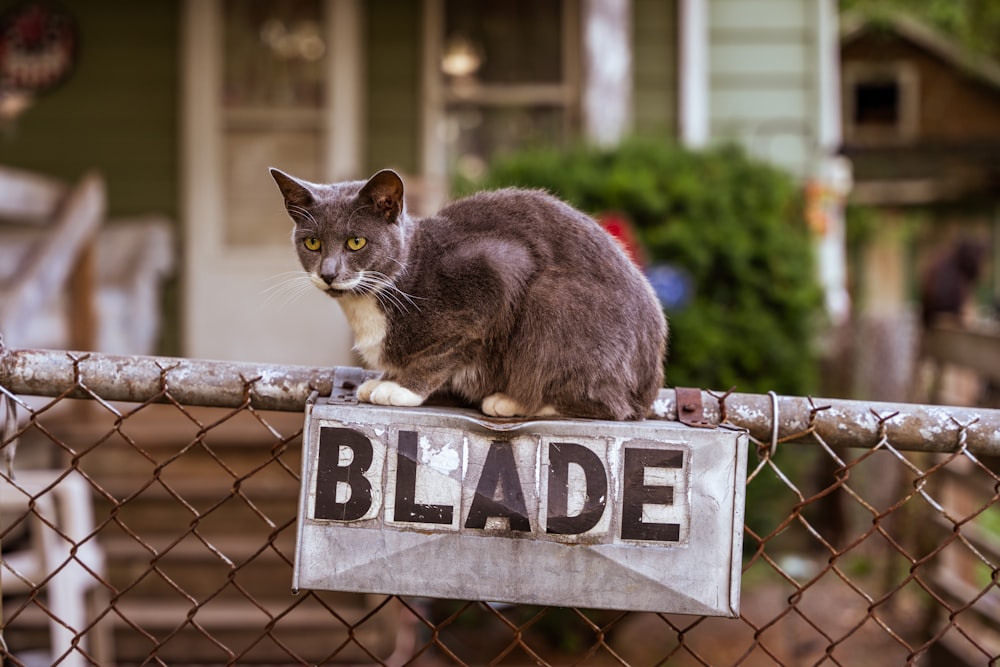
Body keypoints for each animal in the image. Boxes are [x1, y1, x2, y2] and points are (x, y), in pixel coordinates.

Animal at [270, 170, 668, 420]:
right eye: (312, 243)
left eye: (356, 242)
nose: (329, 273)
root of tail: (649, 382)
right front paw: (383, 379)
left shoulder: (495, 271)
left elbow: (445, 351)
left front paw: (400, 389)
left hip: (551, 303)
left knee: (608, 405)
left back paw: (510, 401)